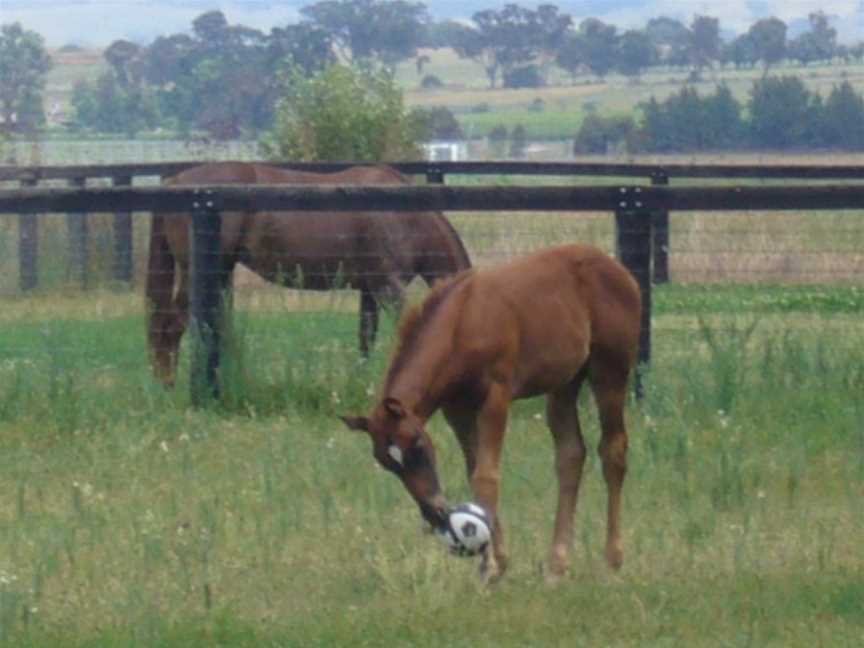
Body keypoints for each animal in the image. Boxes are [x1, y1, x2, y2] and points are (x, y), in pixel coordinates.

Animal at [148, 161, 472, 384]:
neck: (405, 216)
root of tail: (176, 181)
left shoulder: (370, 289)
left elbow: (366, 338)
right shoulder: (387, 287)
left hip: (220, 272)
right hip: (197, 273)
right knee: (173, 325)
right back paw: (168, 383)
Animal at [342, 243, 640, 584]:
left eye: (417, 445)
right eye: (386, 463)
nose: (434, 513)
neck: (461, 323)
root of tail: (620, 271)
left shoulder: (495, 397)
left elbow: (486, 476)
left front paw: (490, 568)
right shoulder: (456, 409)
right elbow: (474, 470)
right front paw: (498, 561)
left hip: (610, 370)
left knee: (613, 451)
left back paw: (612, 560)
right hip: (564, 382)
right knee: (571, 454)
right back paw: (556, 564)